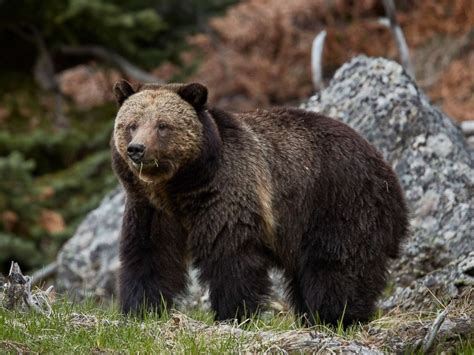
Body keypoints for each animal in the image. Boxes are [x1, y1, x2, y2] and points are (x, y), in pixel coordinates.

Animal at [110, 80, 408, 326]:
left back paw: (337, 316)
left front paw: (233, 314)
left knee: (338, 265)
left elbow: (230, 254)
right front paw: (140, 310)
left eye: (163, 125)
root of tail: (387, 169)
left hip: (339, 202)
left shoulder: (228, 190)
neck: (180, 186)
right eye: (131, 124)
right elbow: (150, 254)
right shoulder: (150, 207)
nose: (137, 149)